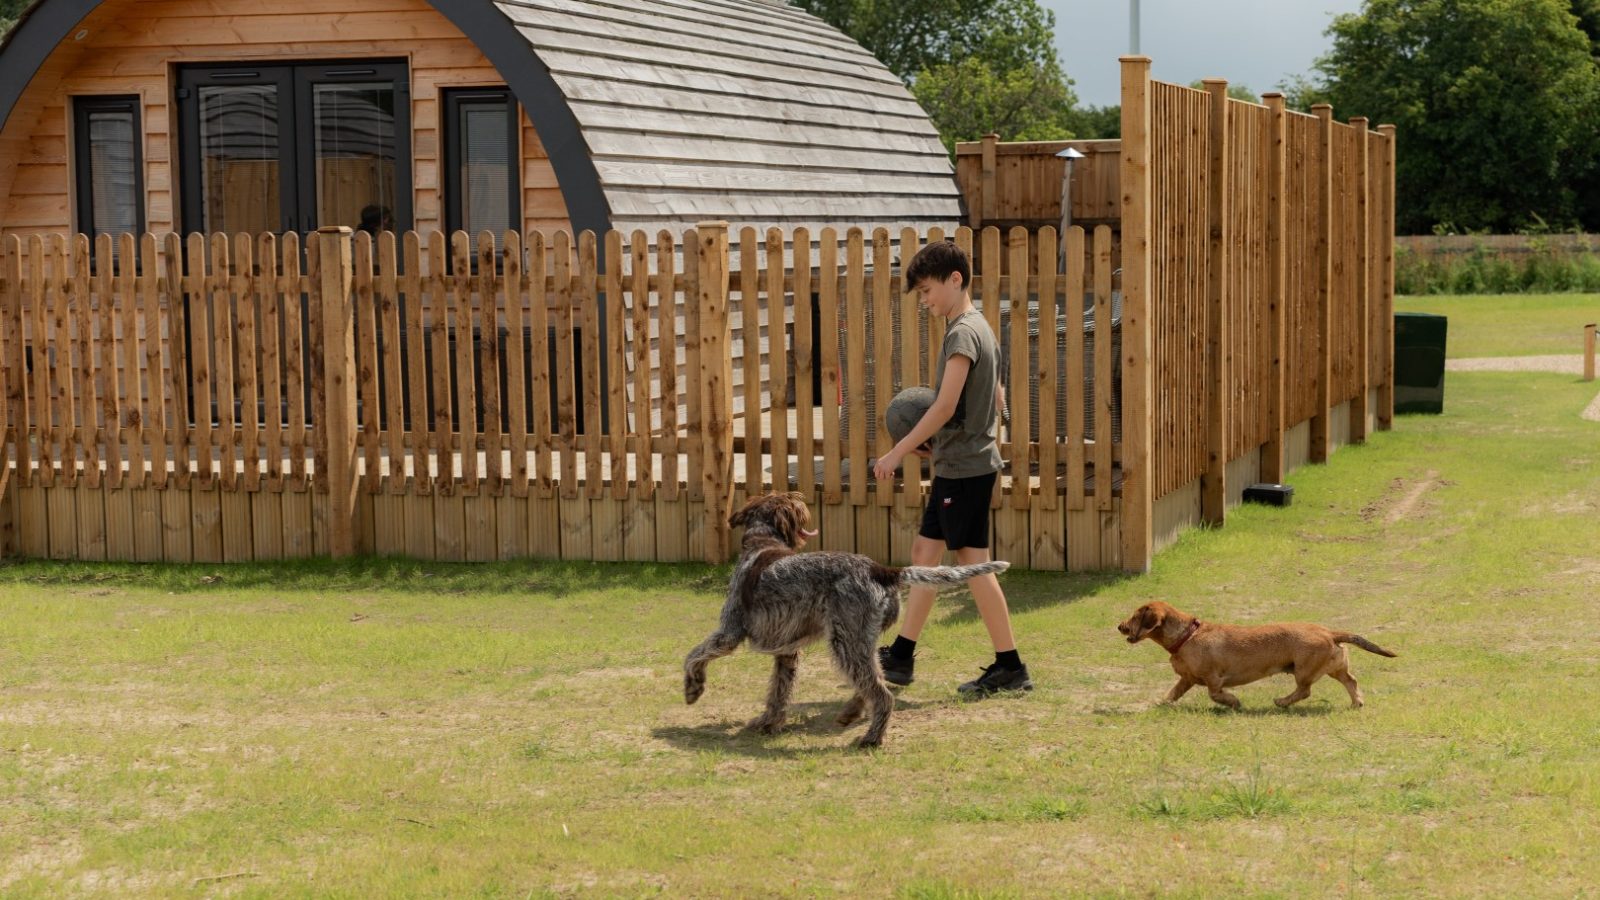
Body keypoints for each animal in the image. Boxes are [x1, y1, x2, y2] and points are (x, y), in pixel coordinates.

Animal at [681, 490, 1004, 743]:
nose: (801, 498)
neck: (762, 542)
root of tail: (881, 570)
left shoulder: (730, 632)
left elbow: (693, 655)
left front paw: (693, 688)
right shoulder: (787, 653)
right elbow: (778, 693)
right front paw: (768, 722)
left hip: (845, 642)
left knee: (881, 694)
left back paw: (871, 738)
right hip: (860, 641)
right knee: (874, 680)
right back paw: (851, 713)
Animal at [1120, 595, 1395, 707]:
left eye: (1135, 616)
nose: (1119, 626)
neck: (1188, 635)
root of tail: (1329, 632)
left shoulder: (1213, 678)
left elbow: (1215, 694)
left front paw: (1233, 702)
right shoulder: (1186, 679)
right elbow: (1172, 693)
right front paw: (1160, 703)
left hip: (1303, 671)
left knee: (1304, 691)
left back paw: (1282, 702)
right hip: (1334, 668)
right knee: (1351, 681)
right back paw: (1357, 702)